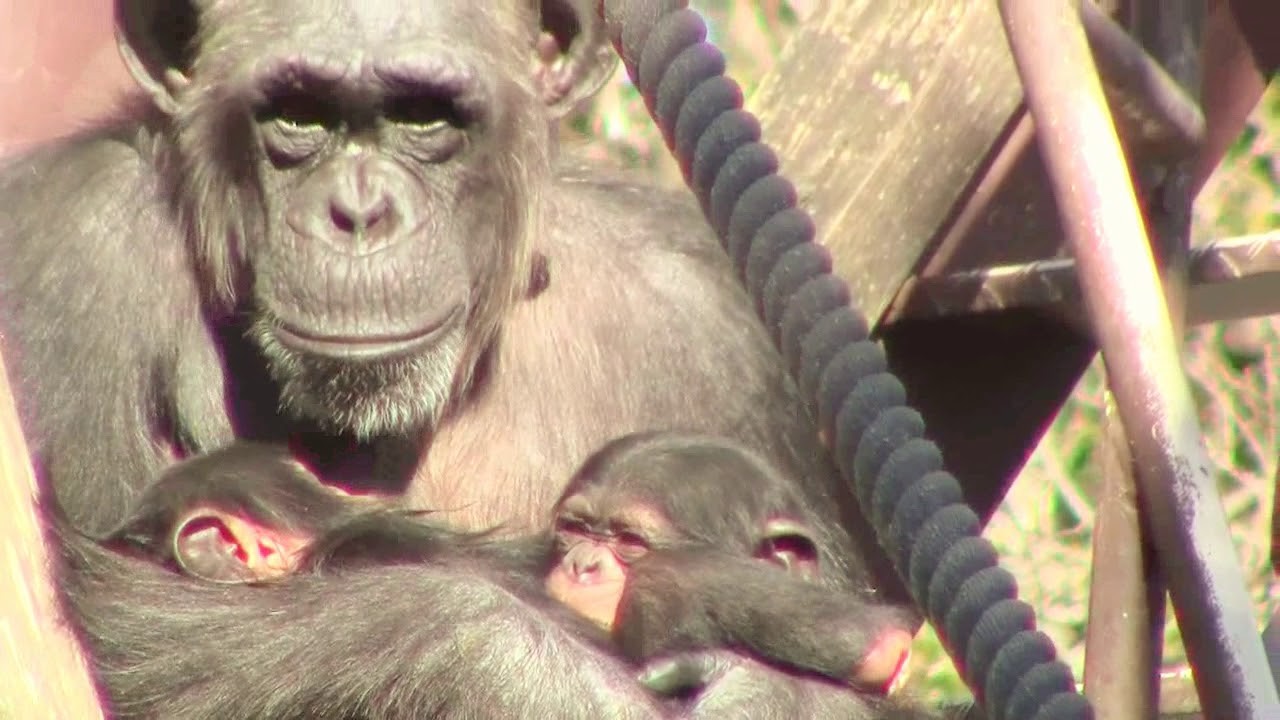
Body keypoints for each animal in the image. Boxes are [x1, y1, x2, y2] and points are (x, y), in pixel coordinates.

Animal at [2, 2, 909, 717]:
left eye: (423, 119)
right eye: (297, 116)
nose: (359, 213)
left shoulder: (723, 332)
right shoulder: (63, 252)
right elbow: (124, 618)